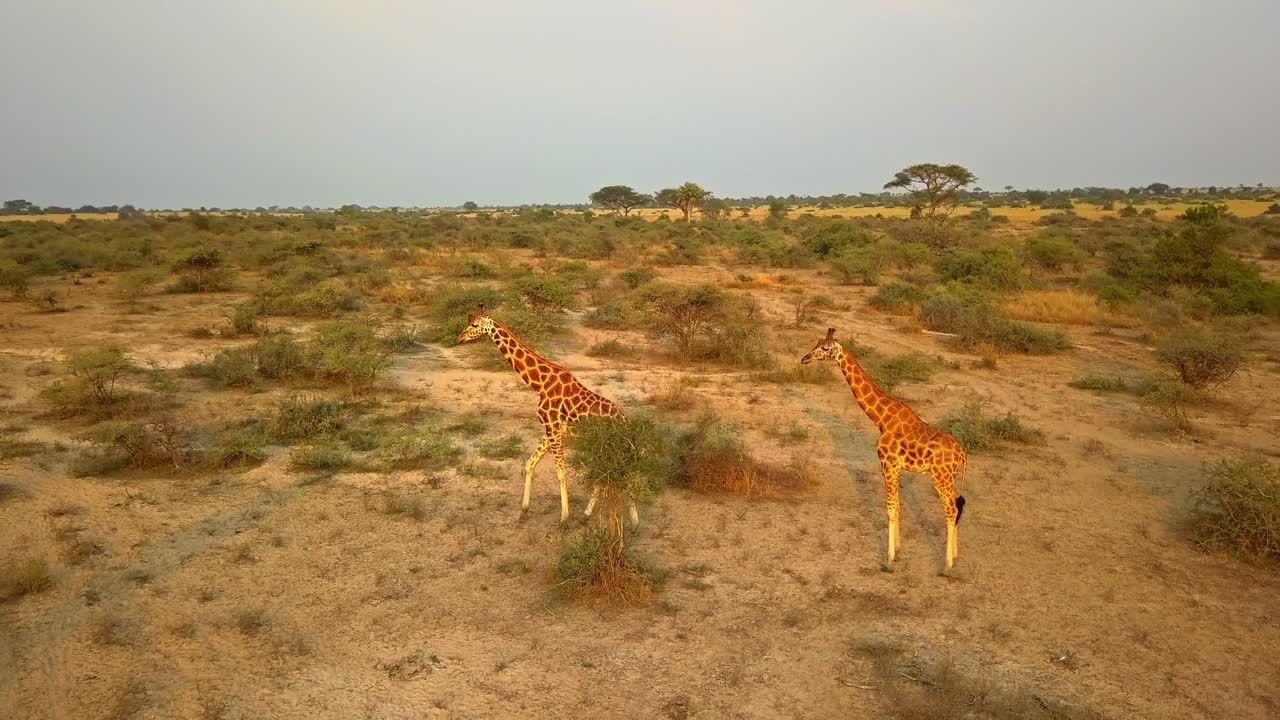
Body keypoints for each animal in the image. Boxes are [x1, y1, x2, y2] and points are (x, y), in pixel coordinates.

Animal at [455, 307, 639, 526]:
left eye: (475, 324)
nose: (459, 338)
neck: (540, 385)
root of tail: (624, 421)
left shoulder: (553, 428)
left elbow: (560, 472)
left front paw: (564, 517)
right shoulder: (549, 429)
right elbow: (529, 464)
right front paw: (524, 510)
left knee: (611, 471)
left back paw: (622, 520)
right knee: (611, 471)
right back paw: (601, 517)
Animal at [801, 328, 967, 570]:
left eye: (824, 348)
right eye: (816, 343)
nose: (804, 359)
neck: (881, 419)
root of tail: (962, 453)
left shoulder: (888, 462)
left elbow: (890, 508)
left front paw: (888, 560)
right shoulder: (895, 467)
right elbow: (897, 506)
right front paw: (897, 551)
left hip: (940, 476)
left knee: (951, 510)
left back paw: (947, 565)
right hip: (949, 477)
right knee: (956, 507)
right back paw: (954, 557)